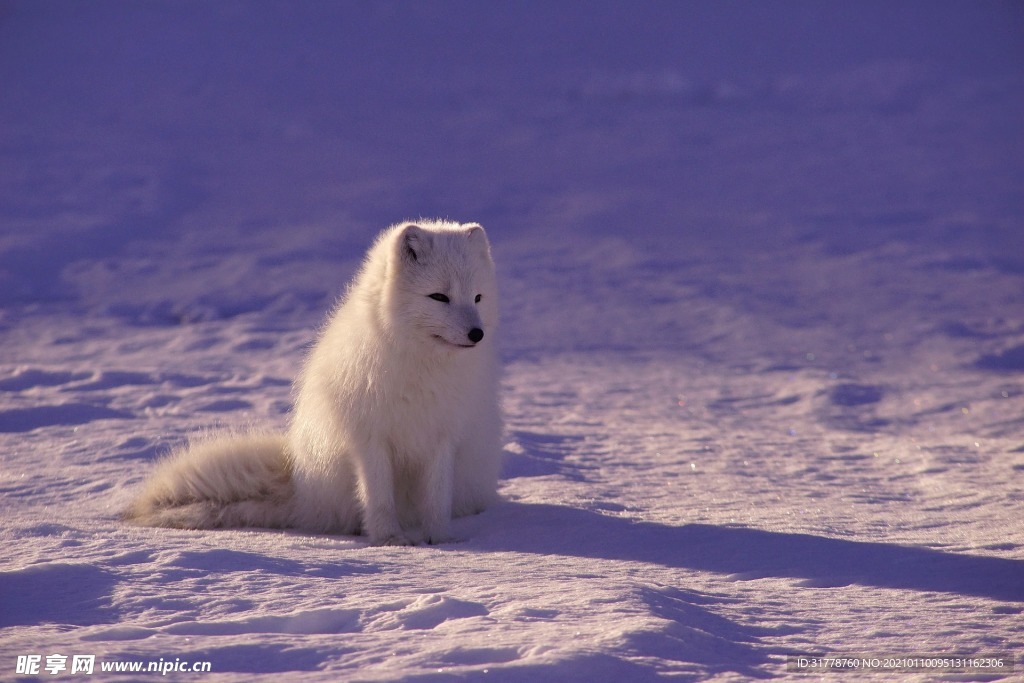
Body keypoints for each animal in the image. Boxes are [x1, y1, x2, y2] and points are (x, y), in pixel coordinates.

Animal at [125, 222, 501, 548]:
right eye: (439, 297)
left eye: (478, 297)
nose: (477, 334)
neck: (422, 367)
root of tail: (301, 488)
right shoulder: (369, 438)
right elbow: (378, 497)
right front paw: (390, 539)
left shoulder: (443, 437)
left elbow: (436, 498)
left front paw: (440, 539)